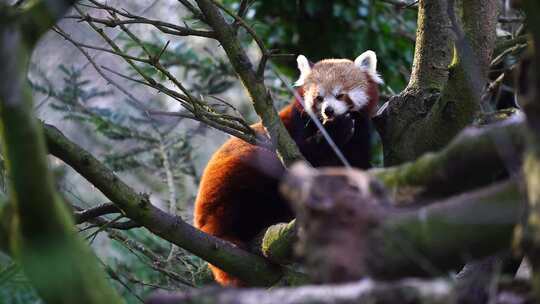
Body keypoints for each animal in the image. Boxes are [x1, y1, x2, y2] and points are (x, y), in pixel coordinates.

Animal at [192, 50, 382, 284]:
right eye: (319, 98)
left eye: (340, 95)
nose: (328, 111)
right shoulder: (292, 131)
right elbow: (303, 155)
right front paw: (335, 131)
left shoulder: (361, 137)